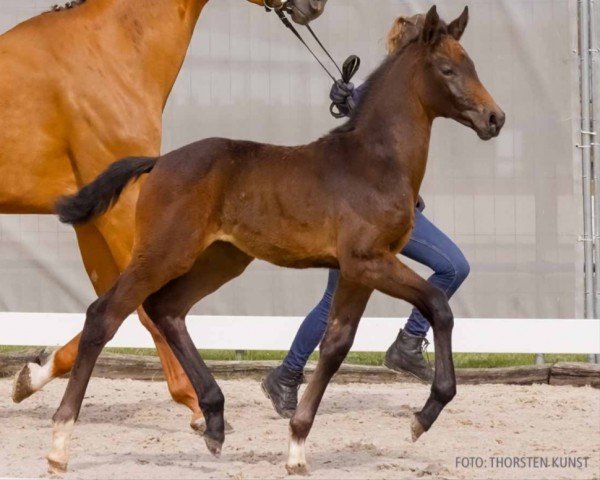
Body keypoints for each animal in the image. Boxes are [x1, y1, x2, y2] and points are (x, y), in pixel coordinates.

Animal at [1, 0, 328, 430]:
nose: (316, 6)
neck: (110, 48)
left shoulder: (93, 220)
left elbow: (108, 304)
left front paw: (31, 376)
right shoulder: (121, 212)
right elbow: (142, 306)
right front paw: (197, 406)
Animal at [51, 6, 504, 472]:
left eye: (472, 64)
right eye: (447, 68)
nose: (495, 118)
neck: (375, 161)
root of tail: (158, 162)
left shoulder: (357, 270)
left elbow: (337, 343)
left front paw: (298, 445)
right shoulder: (369, 261)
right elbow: (439, 305)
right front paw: (424, 415)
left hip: (222, 259)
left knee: (167, 309)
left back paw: (214, 421)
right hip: (163, 253)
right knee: (104, 315)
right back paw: (59, 444)